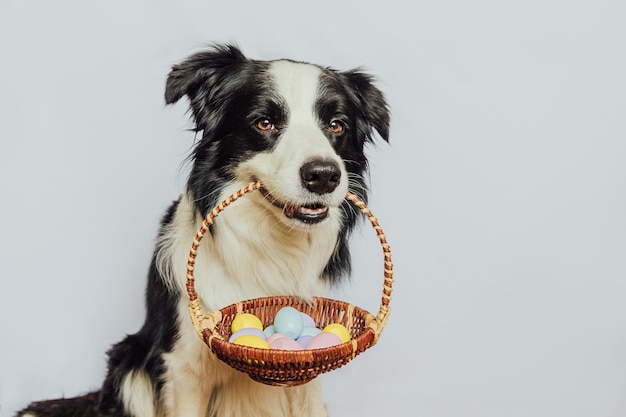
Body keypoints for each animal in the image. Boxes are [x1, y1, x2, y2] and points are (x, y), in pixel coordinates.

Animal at [17, 43, 388, 416]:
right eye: (264, 122)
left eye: (337, 125)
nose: (324, 175)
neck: (271, 245)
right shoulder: (183, 368)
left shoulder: (307, 375)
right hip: (131, 366)